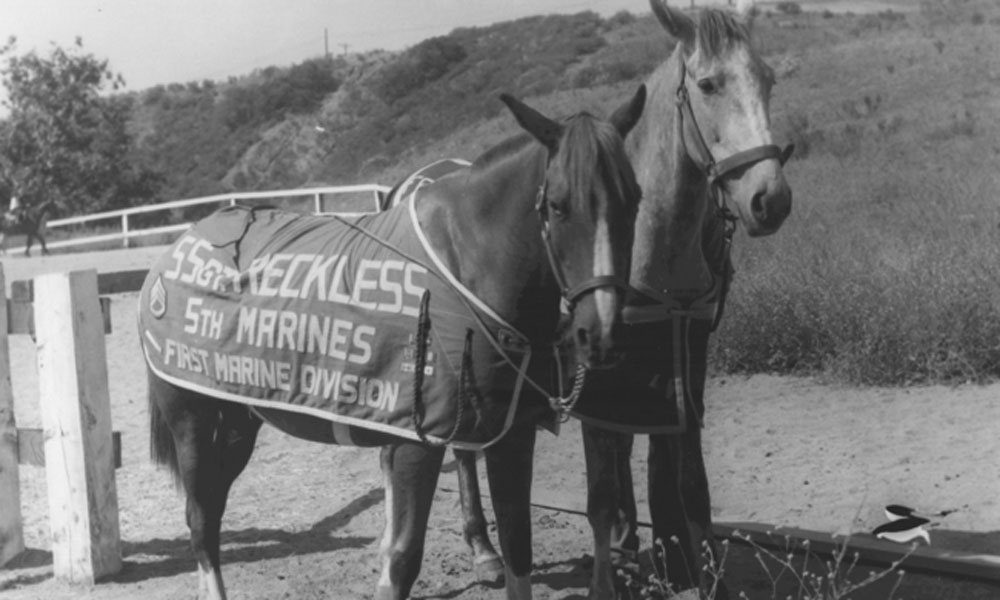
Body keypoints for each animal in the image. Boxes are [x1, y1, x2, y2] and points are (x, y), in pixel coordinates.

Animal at [141, 90, 648, 600]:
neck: (465, 271)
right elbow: (403, 559)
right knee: (201, 519)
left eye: (634, 200)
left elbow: (518, 545)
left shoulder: (513, 434)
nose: (601, 332)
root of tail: (178, 247)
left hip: (237, 423)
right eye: (559, 206)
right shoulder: (416, 444)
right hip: (192, 422)